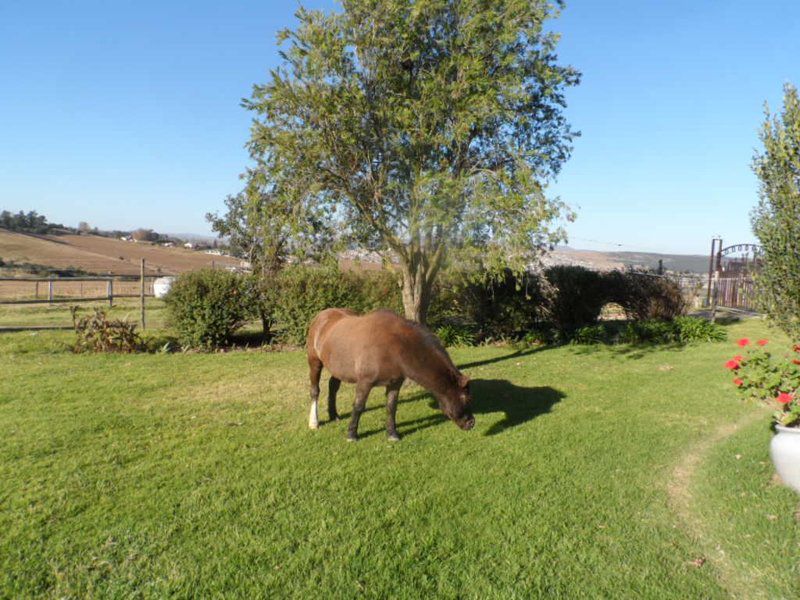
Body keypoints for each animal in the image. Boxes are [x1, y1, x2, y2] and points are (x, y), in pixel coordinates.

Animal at [306, 310, 476, 440]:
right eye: (466, 398)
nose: (471, 423)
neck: (395, 346)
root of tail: (321, 316)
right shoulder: (365, 382)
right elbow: (359, 406)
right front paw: (352, 435)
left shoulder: (395, 383)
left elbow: (391, 407)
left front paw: (392, 434)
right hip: (314, 362)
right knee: (315, 391)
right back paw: (314, 422)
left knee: (333, 386)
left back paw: (334, 415)